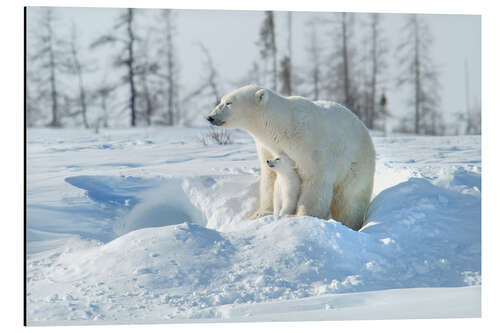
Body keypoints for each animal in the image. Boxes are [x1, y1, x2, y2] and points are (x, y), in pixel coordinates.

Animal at [207, 84, 376, 230]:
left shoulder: (308, 145)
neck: (282, 126)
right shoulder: (267, 148)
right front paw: (260, 213)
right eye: (221, 100)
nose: (210, 117)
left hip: (356, 165)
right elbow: (269, 179)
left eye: (229, 103)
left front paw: (302, 217)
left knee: (349, 201)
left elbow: (315, 181)